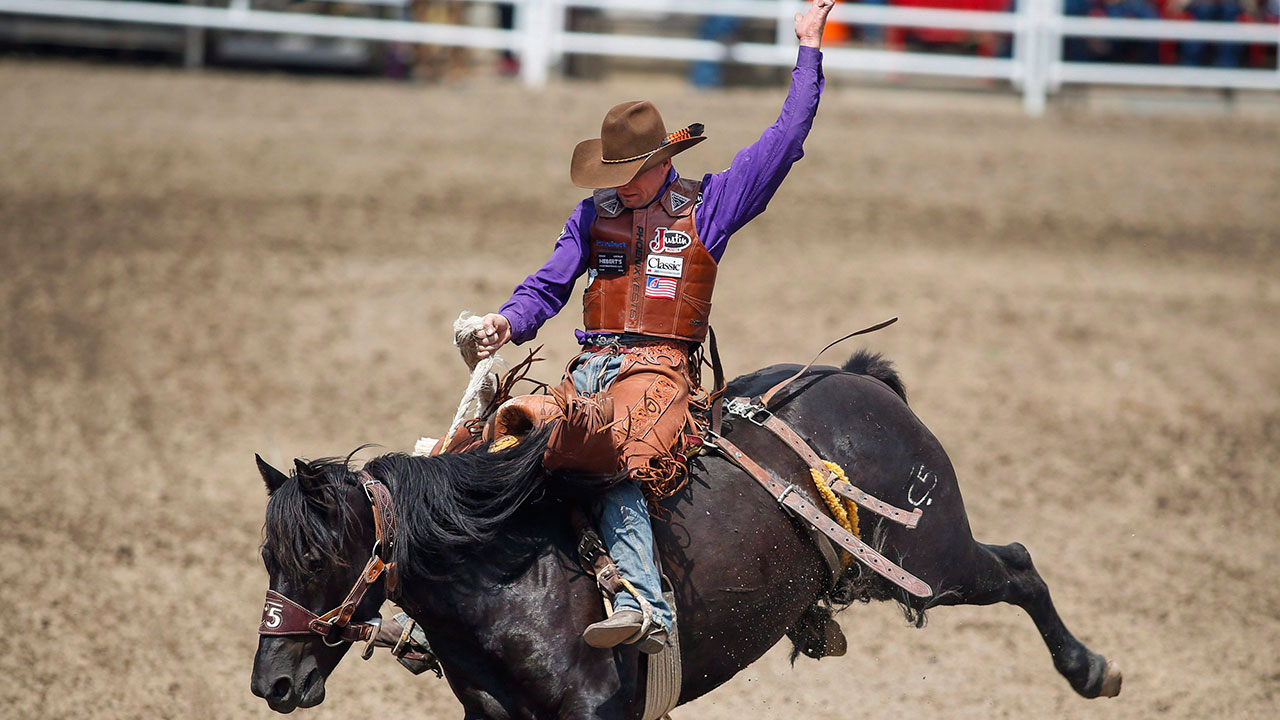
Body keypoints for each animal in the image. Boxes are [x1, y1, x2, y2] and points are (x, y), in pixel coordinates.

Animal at [250, 351, 1122, 717]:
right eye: (266, 557)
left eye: (318, 557)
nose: (273, 685)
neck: (513, 582)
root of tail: (860, 381)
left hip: (931, 561)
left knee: (1020, 567)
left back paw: (1091, 670)